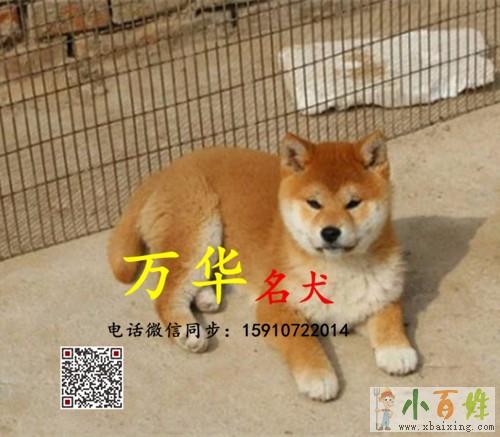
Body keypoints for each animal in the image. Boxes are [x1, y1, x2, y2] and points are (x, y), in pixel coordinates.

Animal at [108, 130, 418, 401]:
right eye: (314, 203)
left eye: (353, 203)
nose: (330, 232)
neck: (338, 269)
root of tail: (164, 170)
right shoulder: (274, 306)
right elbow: (303, 342)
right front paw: (318, 375)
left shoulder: (378, 294)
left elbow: (390, 315)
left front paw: (397, 349)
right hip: (199, 227)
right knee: (167, 294)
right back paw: (188, 330)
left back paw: (207, 297)